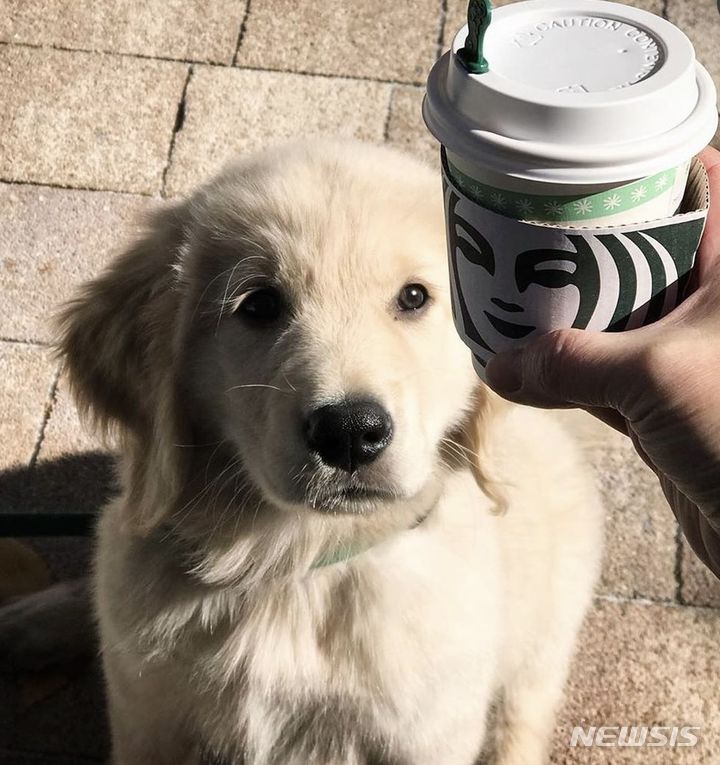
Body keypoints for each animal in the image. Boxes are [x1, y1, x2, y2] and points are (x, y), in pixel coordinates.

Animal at [59, 139, 604, 764]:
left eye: (414, 297)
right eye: (259, 304)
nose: (349, 432)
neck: (295, 564)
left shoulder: (429, 732)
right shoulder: (147, 720)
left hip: (543, 641)